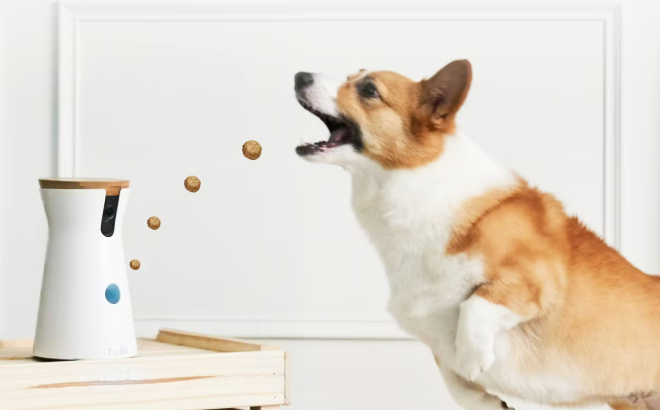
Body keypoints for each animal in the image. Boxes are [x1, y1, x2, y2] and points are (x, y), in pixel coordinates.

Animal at [294, 60, 660, 410]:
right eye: (350, 76)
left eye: (369, 90)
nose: (299, 76)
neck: (416, 187)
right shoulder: (435, 342)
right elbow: (456, 385)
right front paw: (490, 400)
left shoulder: (536, 281)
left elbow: (476, 304)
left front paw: (472, 358)